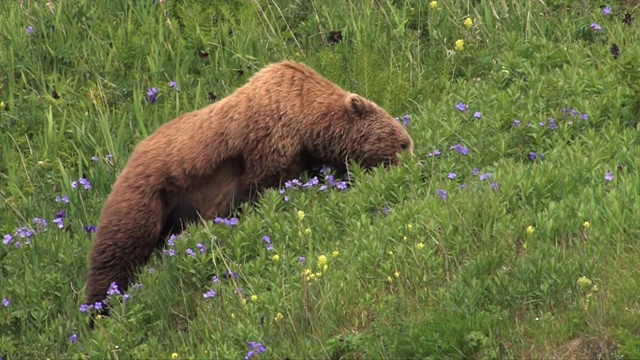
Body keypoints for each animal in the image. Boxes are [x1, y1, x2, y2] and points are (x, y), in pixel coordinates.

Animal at [84, 59, 416, 312]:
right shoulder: (269, 141)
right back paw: (100, 309)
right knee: (118, 250)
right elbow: (264, 186)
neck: (306, 119)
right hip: (147, 196)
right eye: (403, 142)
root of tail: (127, 160)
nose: (414, 160)